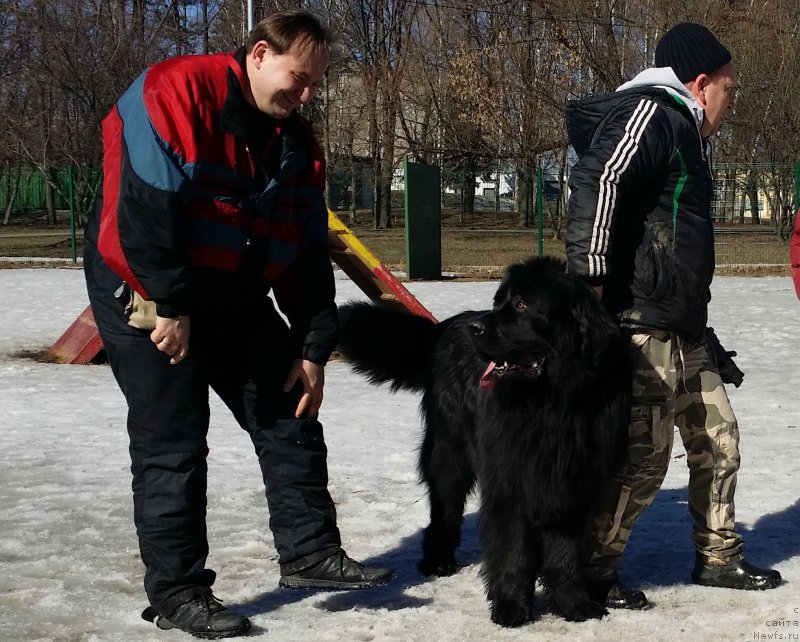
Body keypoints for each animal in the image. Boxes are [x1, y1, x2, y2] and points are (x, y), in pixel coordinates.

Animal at [338, 255, 632, 624]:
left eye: (522, 304)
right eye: (499, 301)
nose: (476, 328)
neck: (552, 404)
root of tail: (444, 327)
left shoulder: (571, 485)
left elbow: (565, 554)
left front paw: (573, 603)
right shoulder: (510, 478)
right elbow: (513, 549)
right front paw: (511, 606)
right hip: (448, 450)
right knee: (445, 506)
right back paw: (438, 560)